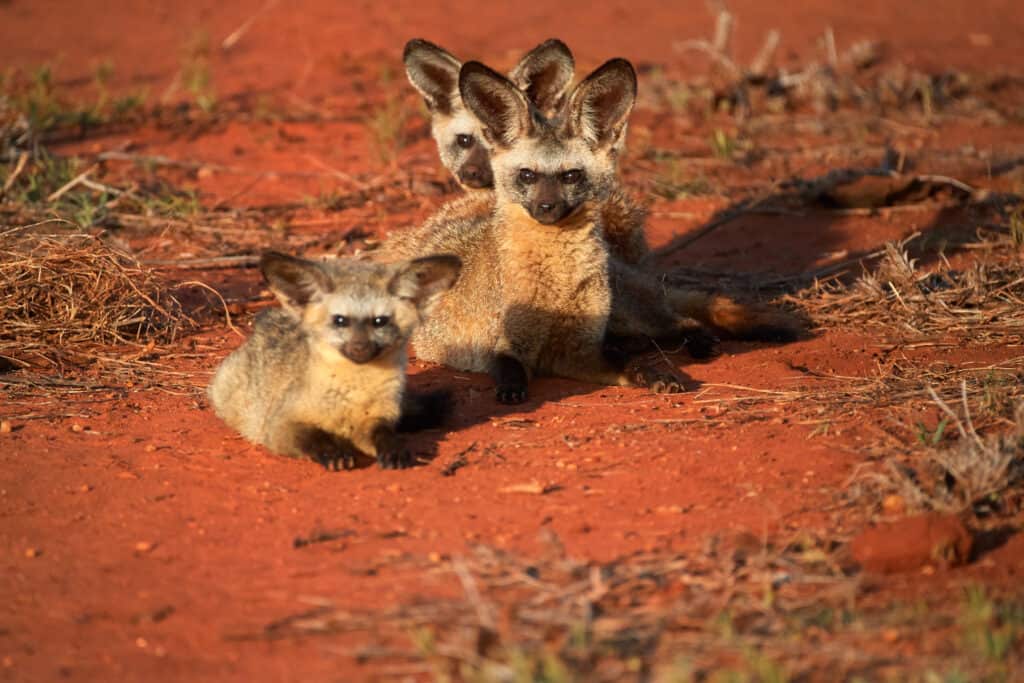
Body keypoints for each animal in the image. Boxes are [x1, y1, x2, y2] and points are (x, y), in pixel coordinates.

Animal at [207, 251, 461, 469]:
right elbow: (314, 437)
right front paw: (333, 452)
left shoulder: (377, 419)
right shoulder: (279, 426)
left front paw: (394, 450)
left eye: (379, 321)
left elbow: (385, 435)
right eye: (340, 320)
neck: (353, 393)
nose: (360, 347)